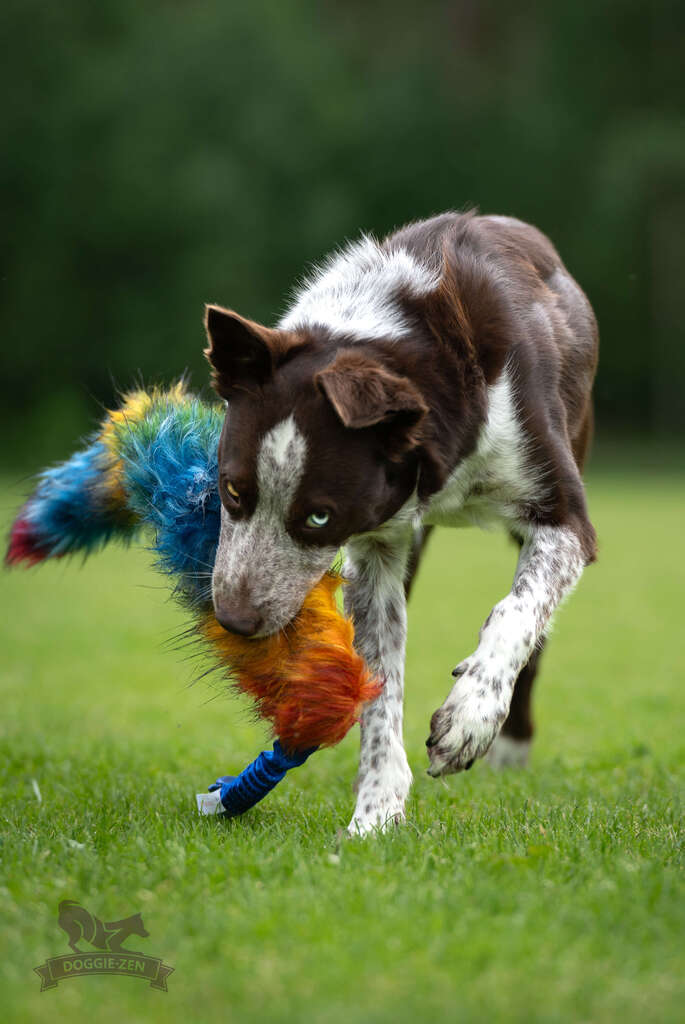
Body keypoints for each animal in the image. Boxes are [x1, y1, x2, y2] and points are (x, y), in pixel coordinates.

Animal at [204, 207, 597, 831]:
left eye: (319, 517)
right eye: (233, 490)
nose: (235, 622)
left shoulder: (565, 518)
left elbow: (517, 612)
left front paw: (469, 719)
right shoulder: (379, 543)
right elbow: (380, 672)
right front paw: (376, 811)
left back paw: (510, 745)